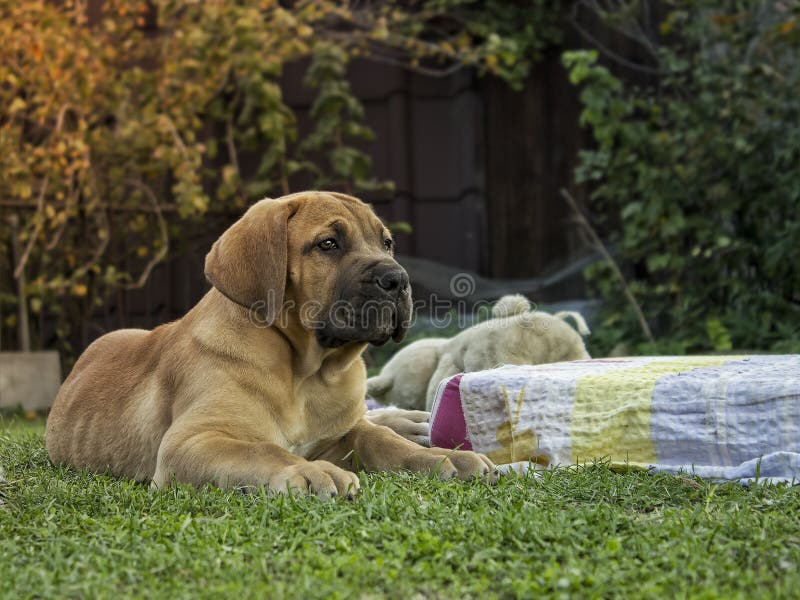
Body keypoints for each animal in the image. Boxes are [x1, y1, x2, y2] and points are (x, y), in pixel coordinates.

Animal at [47, 192, 494, 496]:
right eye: (328, 244)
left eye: (386, 243)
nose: (398, 280)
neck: (307, 373)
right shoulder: (189, 442)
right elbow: (263, 451)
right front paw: (313, 472)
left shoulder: (341, 433)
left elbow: (378, 439)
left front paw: (443, 457)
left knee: (372, 419)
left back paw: (411, 422)